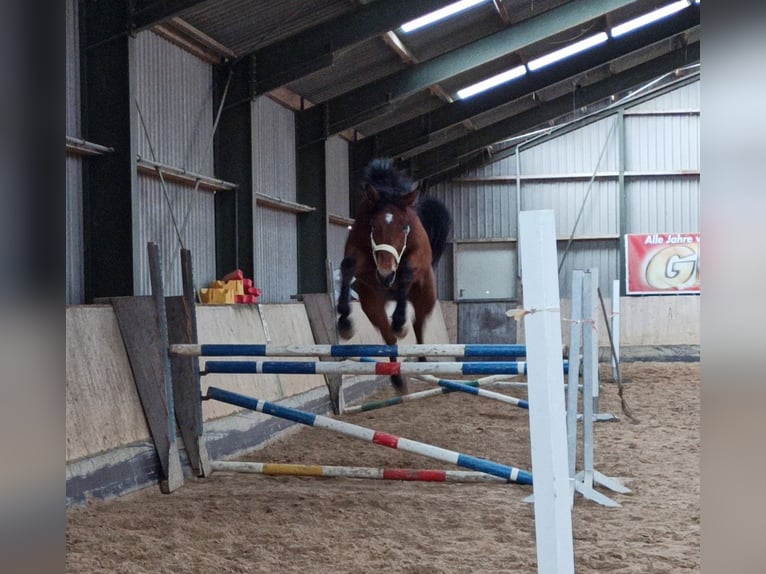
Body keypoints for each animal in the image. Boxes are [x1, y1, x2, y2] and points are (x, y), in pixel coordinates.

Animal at [340, 160, 452, 394]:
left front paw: (400, 320)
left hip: (426, 298)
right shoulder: (359, 256)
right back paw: (397, 378)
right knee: (389, 336)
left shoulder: (416, 257)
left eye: (405, 227)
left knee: (418, 323)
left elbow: (407, 272)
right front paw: (344, 322)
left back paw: (422, 359)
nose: (385, 274)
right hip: (372, 305)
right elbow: (348, 266)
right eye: (374, 226)